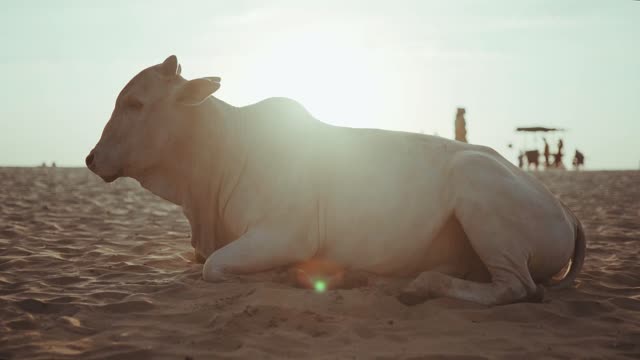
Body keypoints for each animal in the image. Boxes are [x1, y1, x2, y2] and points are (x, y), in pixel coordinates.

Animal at [87, 54, 588, 306]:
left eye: (135, 103)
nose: (91, 159)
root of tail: (567, 211)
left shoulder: (287, 233)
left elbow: (214, 266)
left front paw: (288, 274)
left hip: (475, 181)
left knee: (518, 288)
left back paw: (421, 285)